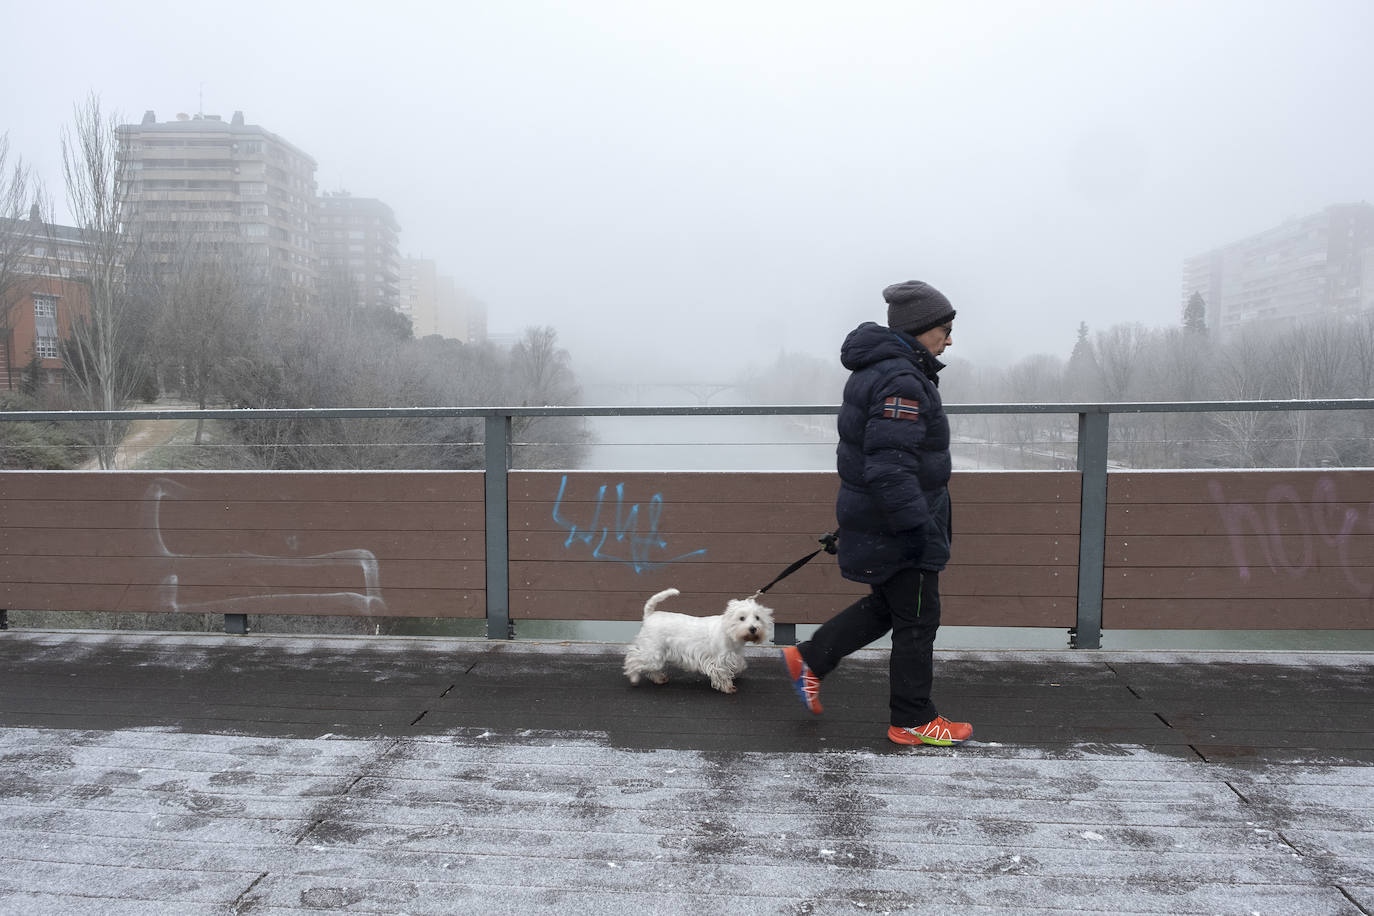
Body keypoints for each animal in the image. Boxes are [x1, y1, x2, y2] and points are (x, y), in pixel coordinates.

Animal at [623, 587, 774, 694]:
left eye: (757, 617)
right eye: (742, 618)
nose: (753, 628)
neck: (729, 633)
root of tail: (649, 615)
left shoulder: (734, 656)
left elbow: (739, 665)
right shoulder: (720, 659)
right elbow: (723, 673)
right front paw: (728, 687)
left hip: (658, 653)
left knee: (652, 667)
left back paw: (660, 679)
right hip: (652, 651)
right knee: (633, 659)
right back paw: (634, 678)